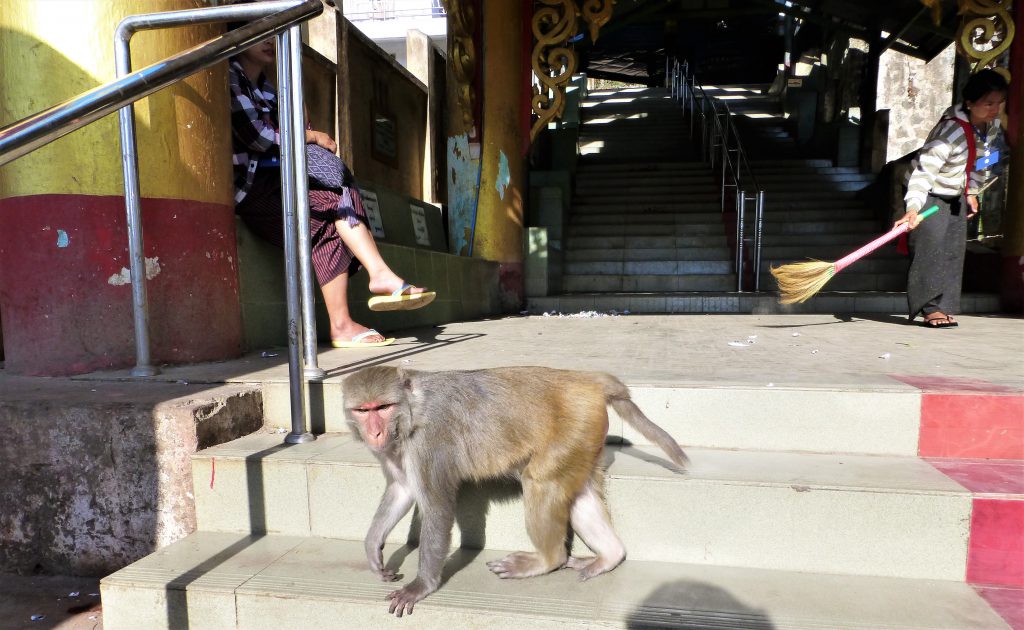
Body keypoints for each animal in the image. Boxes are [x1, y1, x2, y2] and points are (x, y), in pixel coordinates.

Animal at [342, 364, 688, 614]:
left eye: (383, 407)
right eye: (363, 410)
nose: (374, 433)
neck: (412, 409)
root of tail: (587, 380)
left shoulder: (429, 442)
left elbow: (437, 508)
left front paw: (421, 585)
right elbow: (402, 489)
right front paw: (373, 547)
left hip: (574, 426)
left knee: (540, 481)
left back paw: (547, 560)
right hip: (585, 433)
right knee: (578, 493)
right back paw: (610, 556)